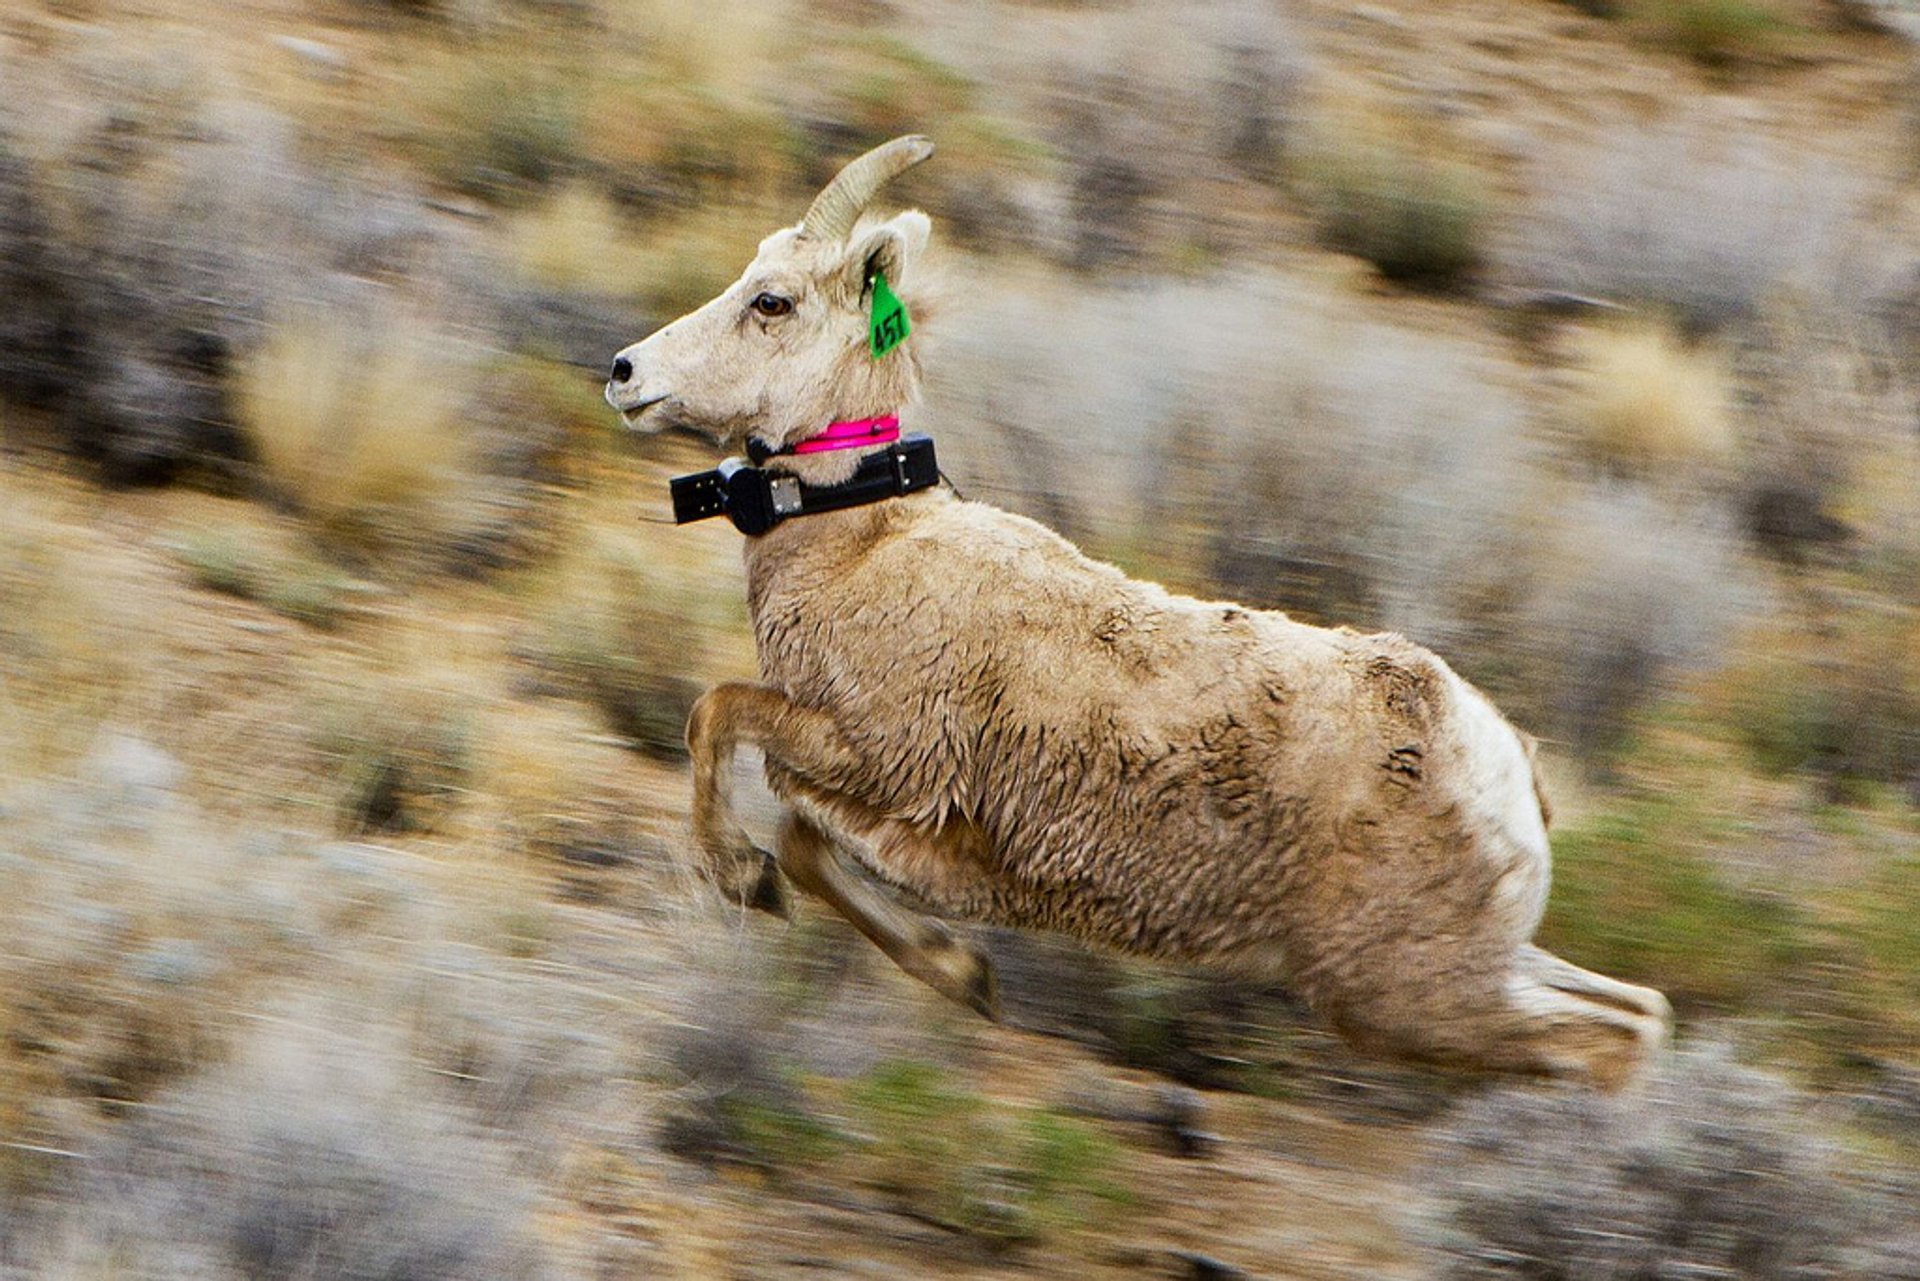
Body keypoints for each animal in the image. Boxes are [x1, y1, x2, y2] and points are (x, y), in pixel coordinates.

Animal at [606, 132, 1674, 1090]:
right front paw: (966, 975)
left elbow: (716, 720)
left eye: (772, 301)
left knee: (1602, 1044)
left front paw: (744, 881)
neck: (868, 545)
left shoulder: (877, 760)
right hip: (1485, 965)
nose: (624, 372)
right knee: (1641, 1013)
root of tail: (1504, 764)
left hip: (1412, 994)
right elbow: (797, 838)